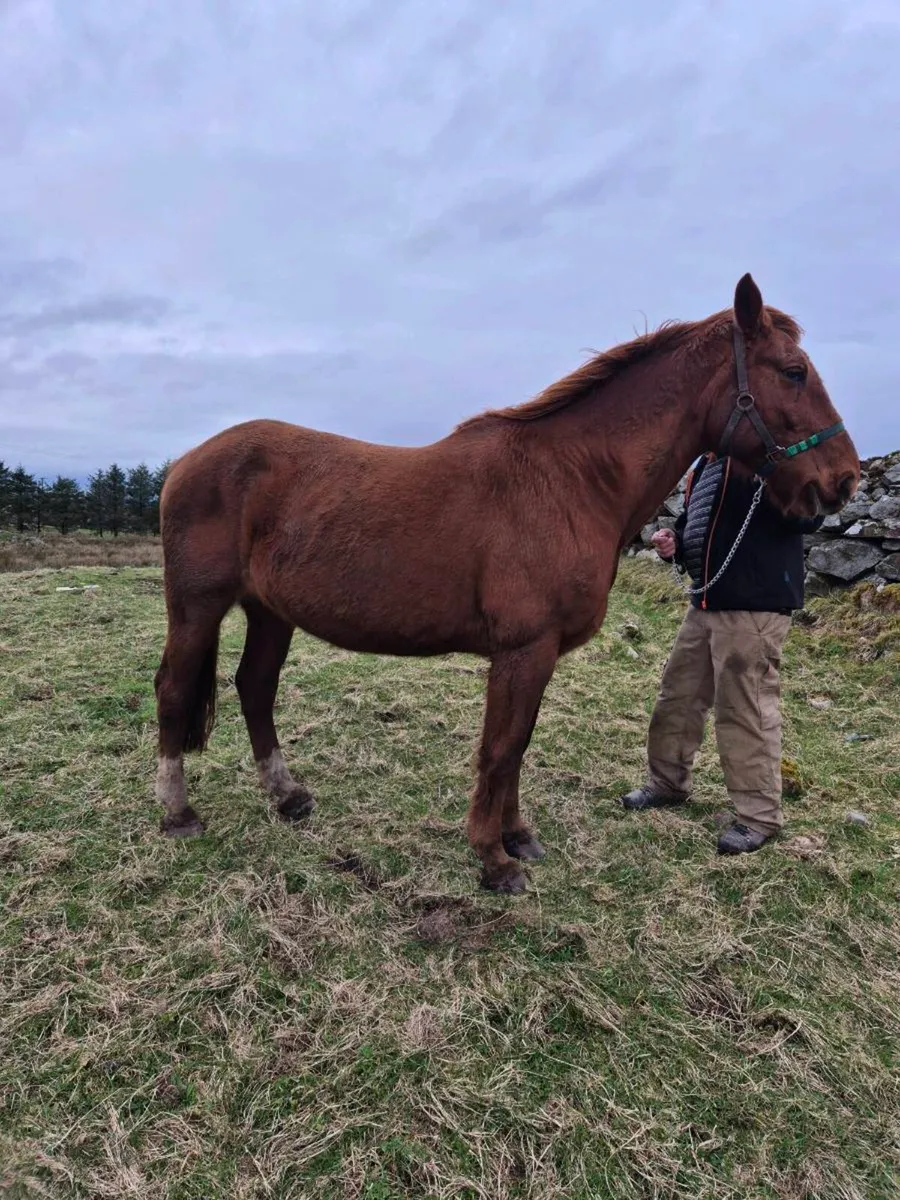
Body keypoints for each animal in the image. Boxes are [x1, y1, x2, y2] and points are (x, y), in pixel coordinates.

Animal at [153, 273, 859, 894]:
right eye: (793, 371)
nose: (844, 479)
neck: (570, 480)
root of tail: (186, 461)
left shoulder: (538, 656)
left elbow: (518, 747)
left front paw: (519, 838)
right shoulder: (523, 650)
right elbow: (500, 749)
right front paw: (494, 861)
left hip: (270, 611)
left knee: (255, 688)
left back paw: (288, 797)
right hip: (197, 609)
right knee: (173, 689)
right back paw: (178, 814)